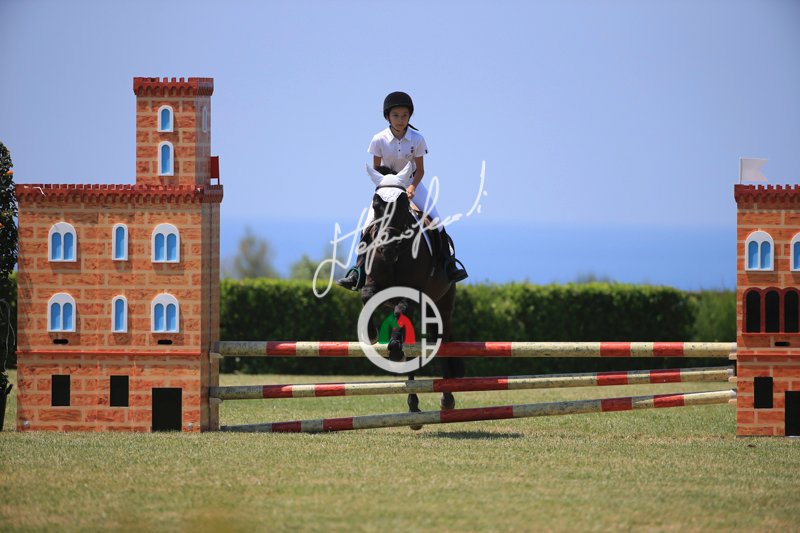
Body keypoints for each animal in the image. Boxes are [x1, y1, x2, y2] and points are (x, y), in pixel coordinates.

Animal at [359, 163, 465, 423]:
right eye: (376, 205)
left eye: (404, 204)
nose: (387, 246)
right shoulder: (373, 285)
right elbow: (367, 297)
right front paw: (372, 334)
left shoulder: (413, 294)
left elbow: (401, 310)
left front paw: (394, 348)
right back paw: (413, 403)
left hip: (442, 306)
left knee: (443, 341)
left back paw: (446, 399)